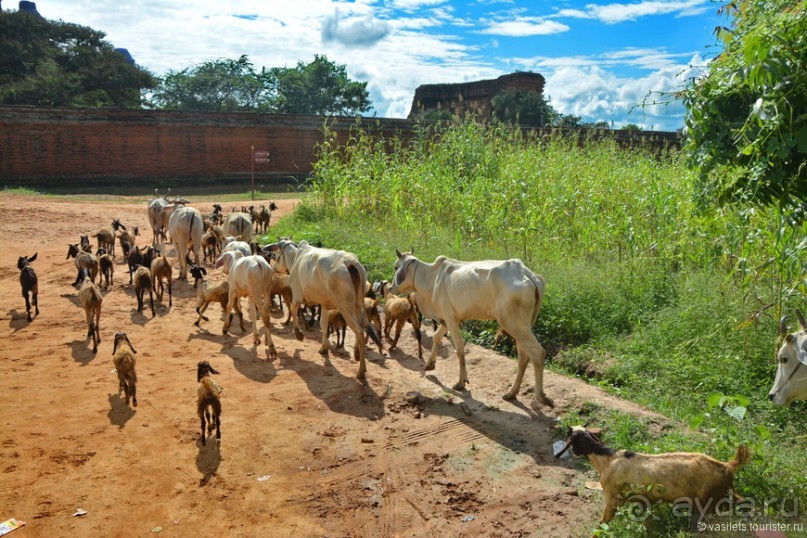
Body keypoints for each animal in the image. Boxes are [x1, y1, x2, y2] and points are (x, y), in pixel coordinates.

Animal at [266, 239, 384, 382]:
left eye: (275, 255)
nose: (273, 268)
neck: (296, 258)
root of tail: (349, 262)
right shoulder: (324, 304)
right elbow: (324, 323)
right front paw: (324, 348)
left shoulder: (297, 295)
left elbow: (293, 309)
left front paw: (298, 333)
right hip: (358, 302)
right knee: (364, 325)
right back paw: (357, 354)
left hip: (345, 307)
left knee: (359, 331)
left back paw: (361, 372)